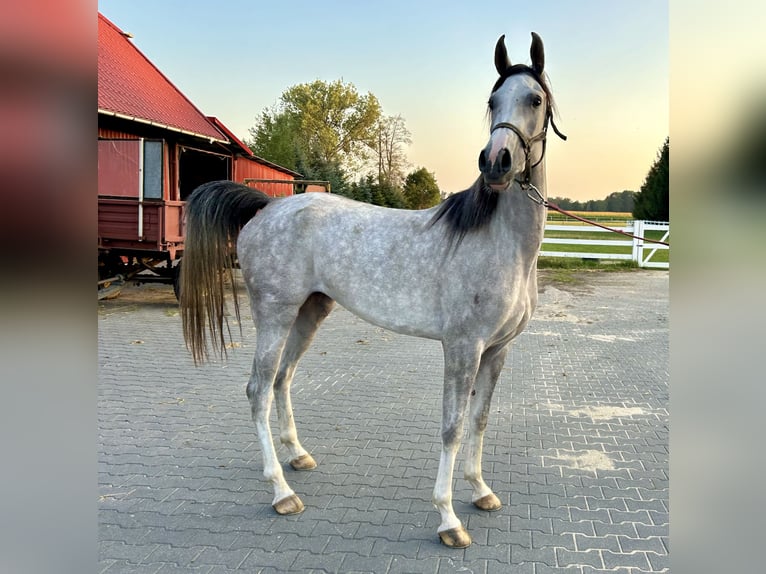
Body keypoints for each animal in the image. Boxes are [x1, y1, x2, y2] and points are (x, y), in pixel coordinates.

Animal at [180, 32, 565, 548]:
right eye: (492, 101)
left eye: (535, 99)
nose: (495, 162)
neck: (501, 242)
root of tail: (265, 207)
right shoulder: (463, 347)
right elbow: (452, 427)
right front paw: (448, 519)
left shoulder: (498, 349)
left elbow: (480, 419)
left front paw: (481, 491)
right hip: (275, 315)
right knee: (258, 389)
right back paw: (281, 492)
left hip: (310, 312)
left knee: (283, 379)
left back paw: (297, 457)